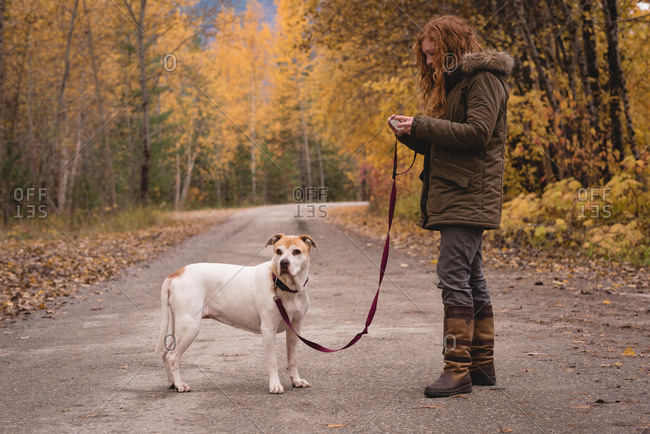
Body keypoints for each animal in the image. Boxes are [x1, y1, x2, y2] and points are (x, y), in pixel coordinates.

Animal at [155, 234, 316, 394]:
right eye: (278, 251)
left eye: (296, 252)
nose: (283, 262)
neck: (284, 285)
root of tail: (176, 273)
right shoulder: (269, 330)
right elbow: (272, 363)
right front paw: (275, 385)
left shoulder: (294, 329)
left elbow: (293, 359)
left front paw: (296, 381)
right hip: (189, 327)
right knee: (172, 357)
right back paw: (180, 385)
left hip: (179, 327)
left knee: (165, 354)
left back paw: (172, 383)